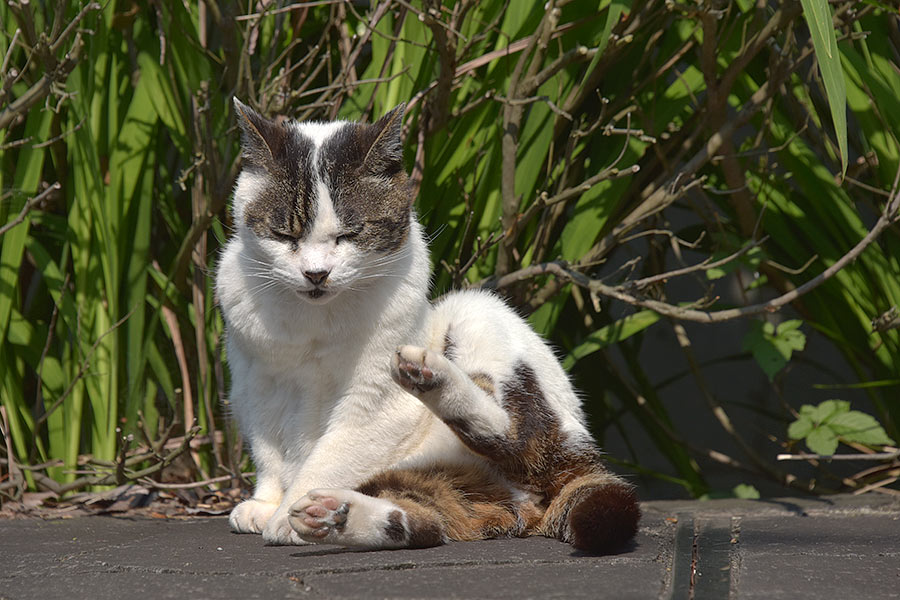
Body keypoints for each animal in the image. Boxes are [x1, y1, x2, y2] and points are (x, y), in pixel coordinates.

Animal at [216, 99, 640, 552]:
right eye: (283, 234)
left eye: (351, 233)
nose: (316, 274)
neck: (314, 323)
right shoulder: (256, 386)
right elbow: (269, 452)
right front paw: (269, 504)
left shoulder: (373, 404)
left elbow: (330, 456)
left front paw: (285, 514)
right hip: (441, 485)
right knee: (421, 520)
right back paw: (330, 514)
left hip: (476, 310)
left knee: (513, 433)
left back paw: (427, 375)